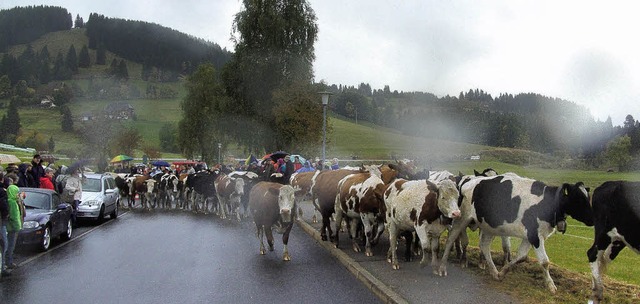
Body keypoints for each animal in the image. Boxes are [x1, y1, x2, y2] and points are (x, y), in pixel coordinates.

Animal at [438, 175, 592, 294]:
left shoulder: (530, 236)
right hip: (461, 218)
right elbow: (544, 262)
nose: (592, 218)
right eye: (578, 198)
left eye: (588, 197)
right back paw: (444, 265)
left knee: (484, 245)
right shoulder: (535, 236)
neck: (546, 203)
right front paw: (551, 285)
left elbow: (522, 256)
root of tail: (468, 182)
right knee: (452, 238)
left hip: (489, 226)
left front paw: (504, 271)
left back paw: (494, 272)